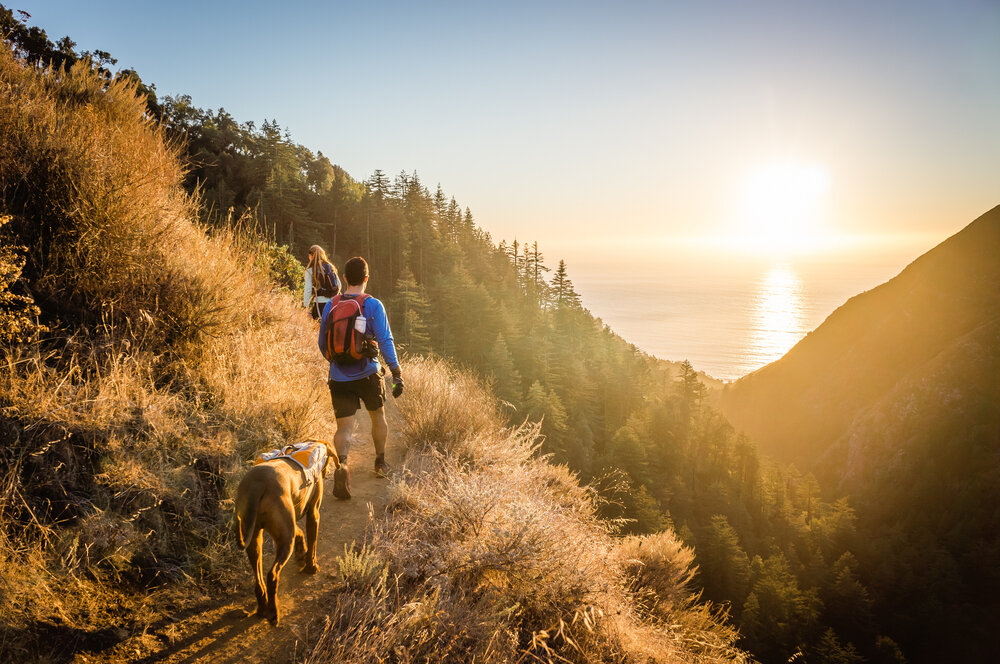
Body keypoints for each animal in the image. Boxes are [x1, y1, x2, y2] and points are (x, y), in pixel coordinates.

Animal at [235, 440, 340, 624]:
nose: (326, 472)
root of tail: (257, 484)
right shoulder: (313, 514)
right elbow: (312, 543)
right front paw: (311, 566)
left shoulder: (289, 521)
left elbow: (300, 532)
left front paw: (301, 552)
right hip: (285, 539)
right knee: (272, 575)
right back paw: (273, 613)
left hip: (256, 537)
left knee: (259, 580)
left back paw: (262, 607)